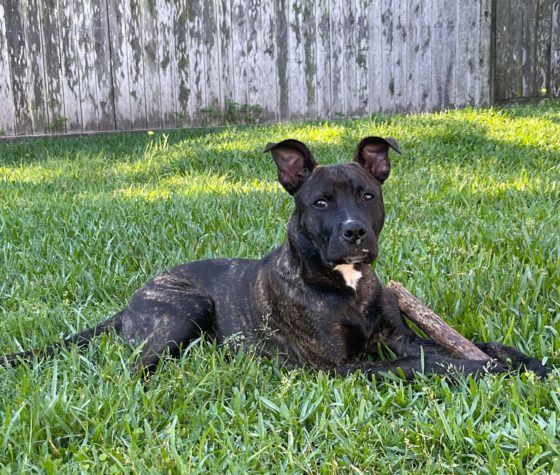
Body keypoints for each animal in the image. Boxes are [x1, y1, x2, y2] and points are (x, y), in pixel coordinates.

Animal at [1, 137, 552, 380]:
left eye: (367, 194)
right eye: (320, 203)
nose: (354, 232)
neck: (344, 285)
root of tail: (129, 302)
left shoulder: (396, 337)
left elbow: (465, 345)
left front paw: (526, 361)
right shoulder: (342, 367)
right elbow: (425, 365)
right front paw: (484, 371)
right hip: (186, 309)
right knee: (133, 368)